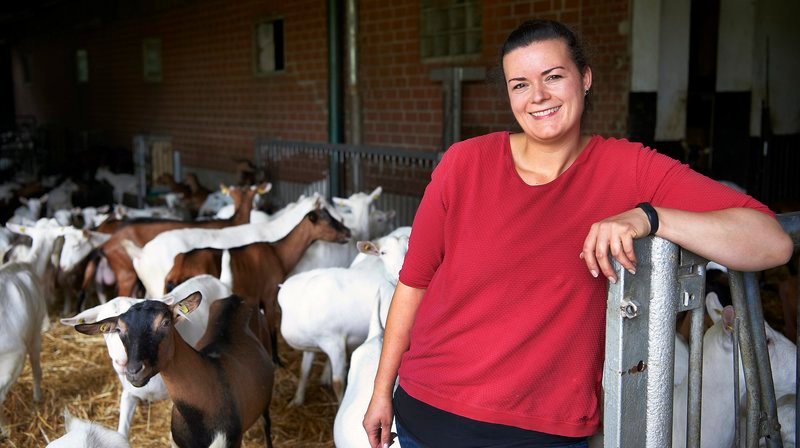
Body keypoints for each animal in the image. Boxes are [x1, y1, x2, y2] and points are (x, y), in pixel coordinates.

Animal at [280, 234, 406, 406]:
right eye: (383, 253)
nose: (402, 273)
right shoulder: (312, 345)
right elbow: (304, 370)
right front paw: (297, 399)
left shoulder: (334, 343)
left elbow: (338, 383)